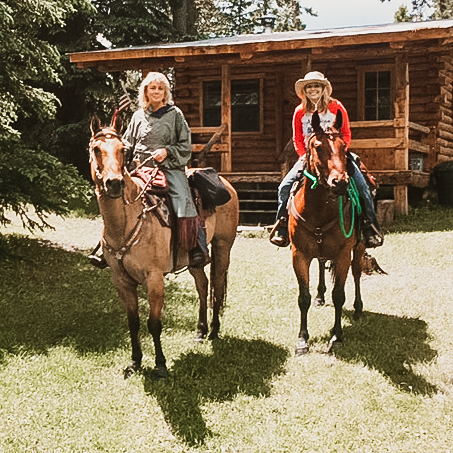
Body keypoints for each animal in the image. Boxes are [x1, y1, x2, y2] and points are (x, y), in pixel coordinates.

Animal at [86, 114, 238, 378]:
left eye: (122, 150)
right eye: (96, 149)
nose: (114, 183)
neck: (127, 220)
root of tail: (226, 183)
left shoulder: (154, 278)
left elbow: (154, 323)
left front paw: (160, 365)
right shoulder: (122, 281)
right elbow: (133, 322)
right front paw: (135, 362)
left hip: (222, 247)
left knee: (217, 288)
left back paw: (214, 331)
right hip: (194, 259)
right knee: (202, 286)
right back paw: (200, 331)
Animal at [288, 110, 366, 356]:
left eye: (344, 147)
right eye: (317, 146)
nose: (340, 182)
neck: (318, 210)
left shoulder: (342, 254)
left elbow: (339, 295)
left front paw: (336, 336)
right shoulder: (299, 254)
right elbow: (303, 297)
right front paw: (302, 340)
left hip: (359, 248)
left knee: (357, 273)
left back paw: (358, 309)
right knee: (322, 265)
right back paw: (320, 296)